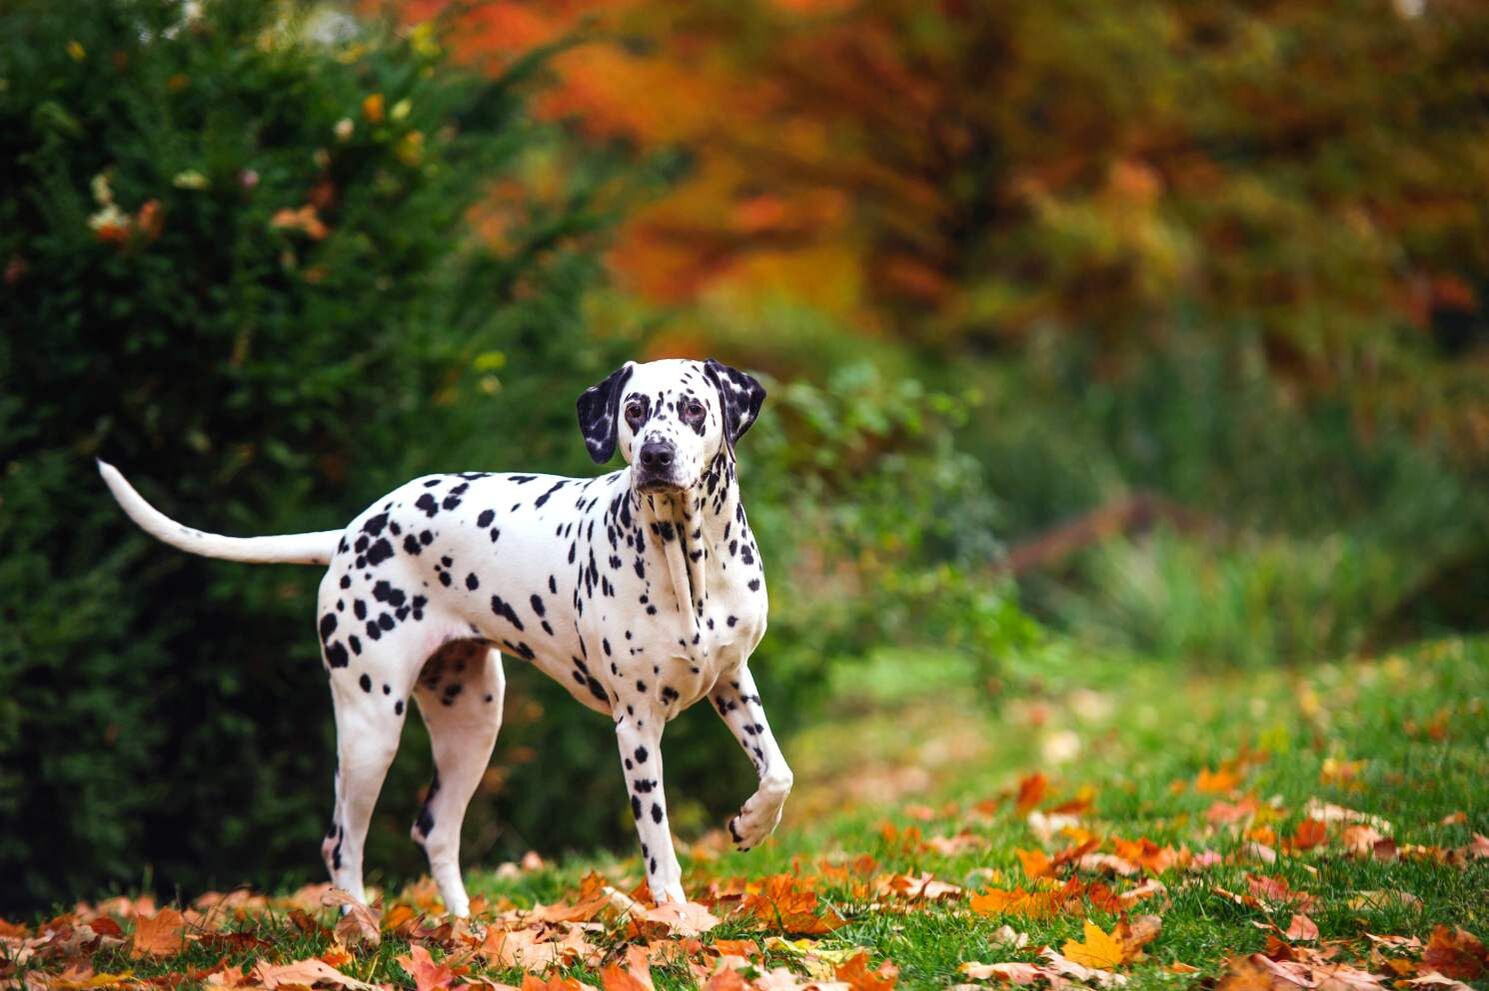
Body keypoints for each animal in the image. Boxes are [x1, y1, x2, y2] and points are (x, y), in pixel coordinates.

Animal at [93, 355, 792, 910]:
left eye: (694, 409)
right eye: (636, 409)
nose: (654, 455)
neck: (690, 566)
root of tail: (352, 532)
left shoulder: (734, 682)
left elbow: (778, 774)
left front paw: (750, 826)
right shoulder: (636, 727)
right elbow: (657, 843)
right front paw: (675, 918)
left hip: (472, 725)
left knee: (435, 828)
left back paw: (464, 927)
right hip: (371, 728)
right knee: (342, 843)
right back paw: (360, 929)